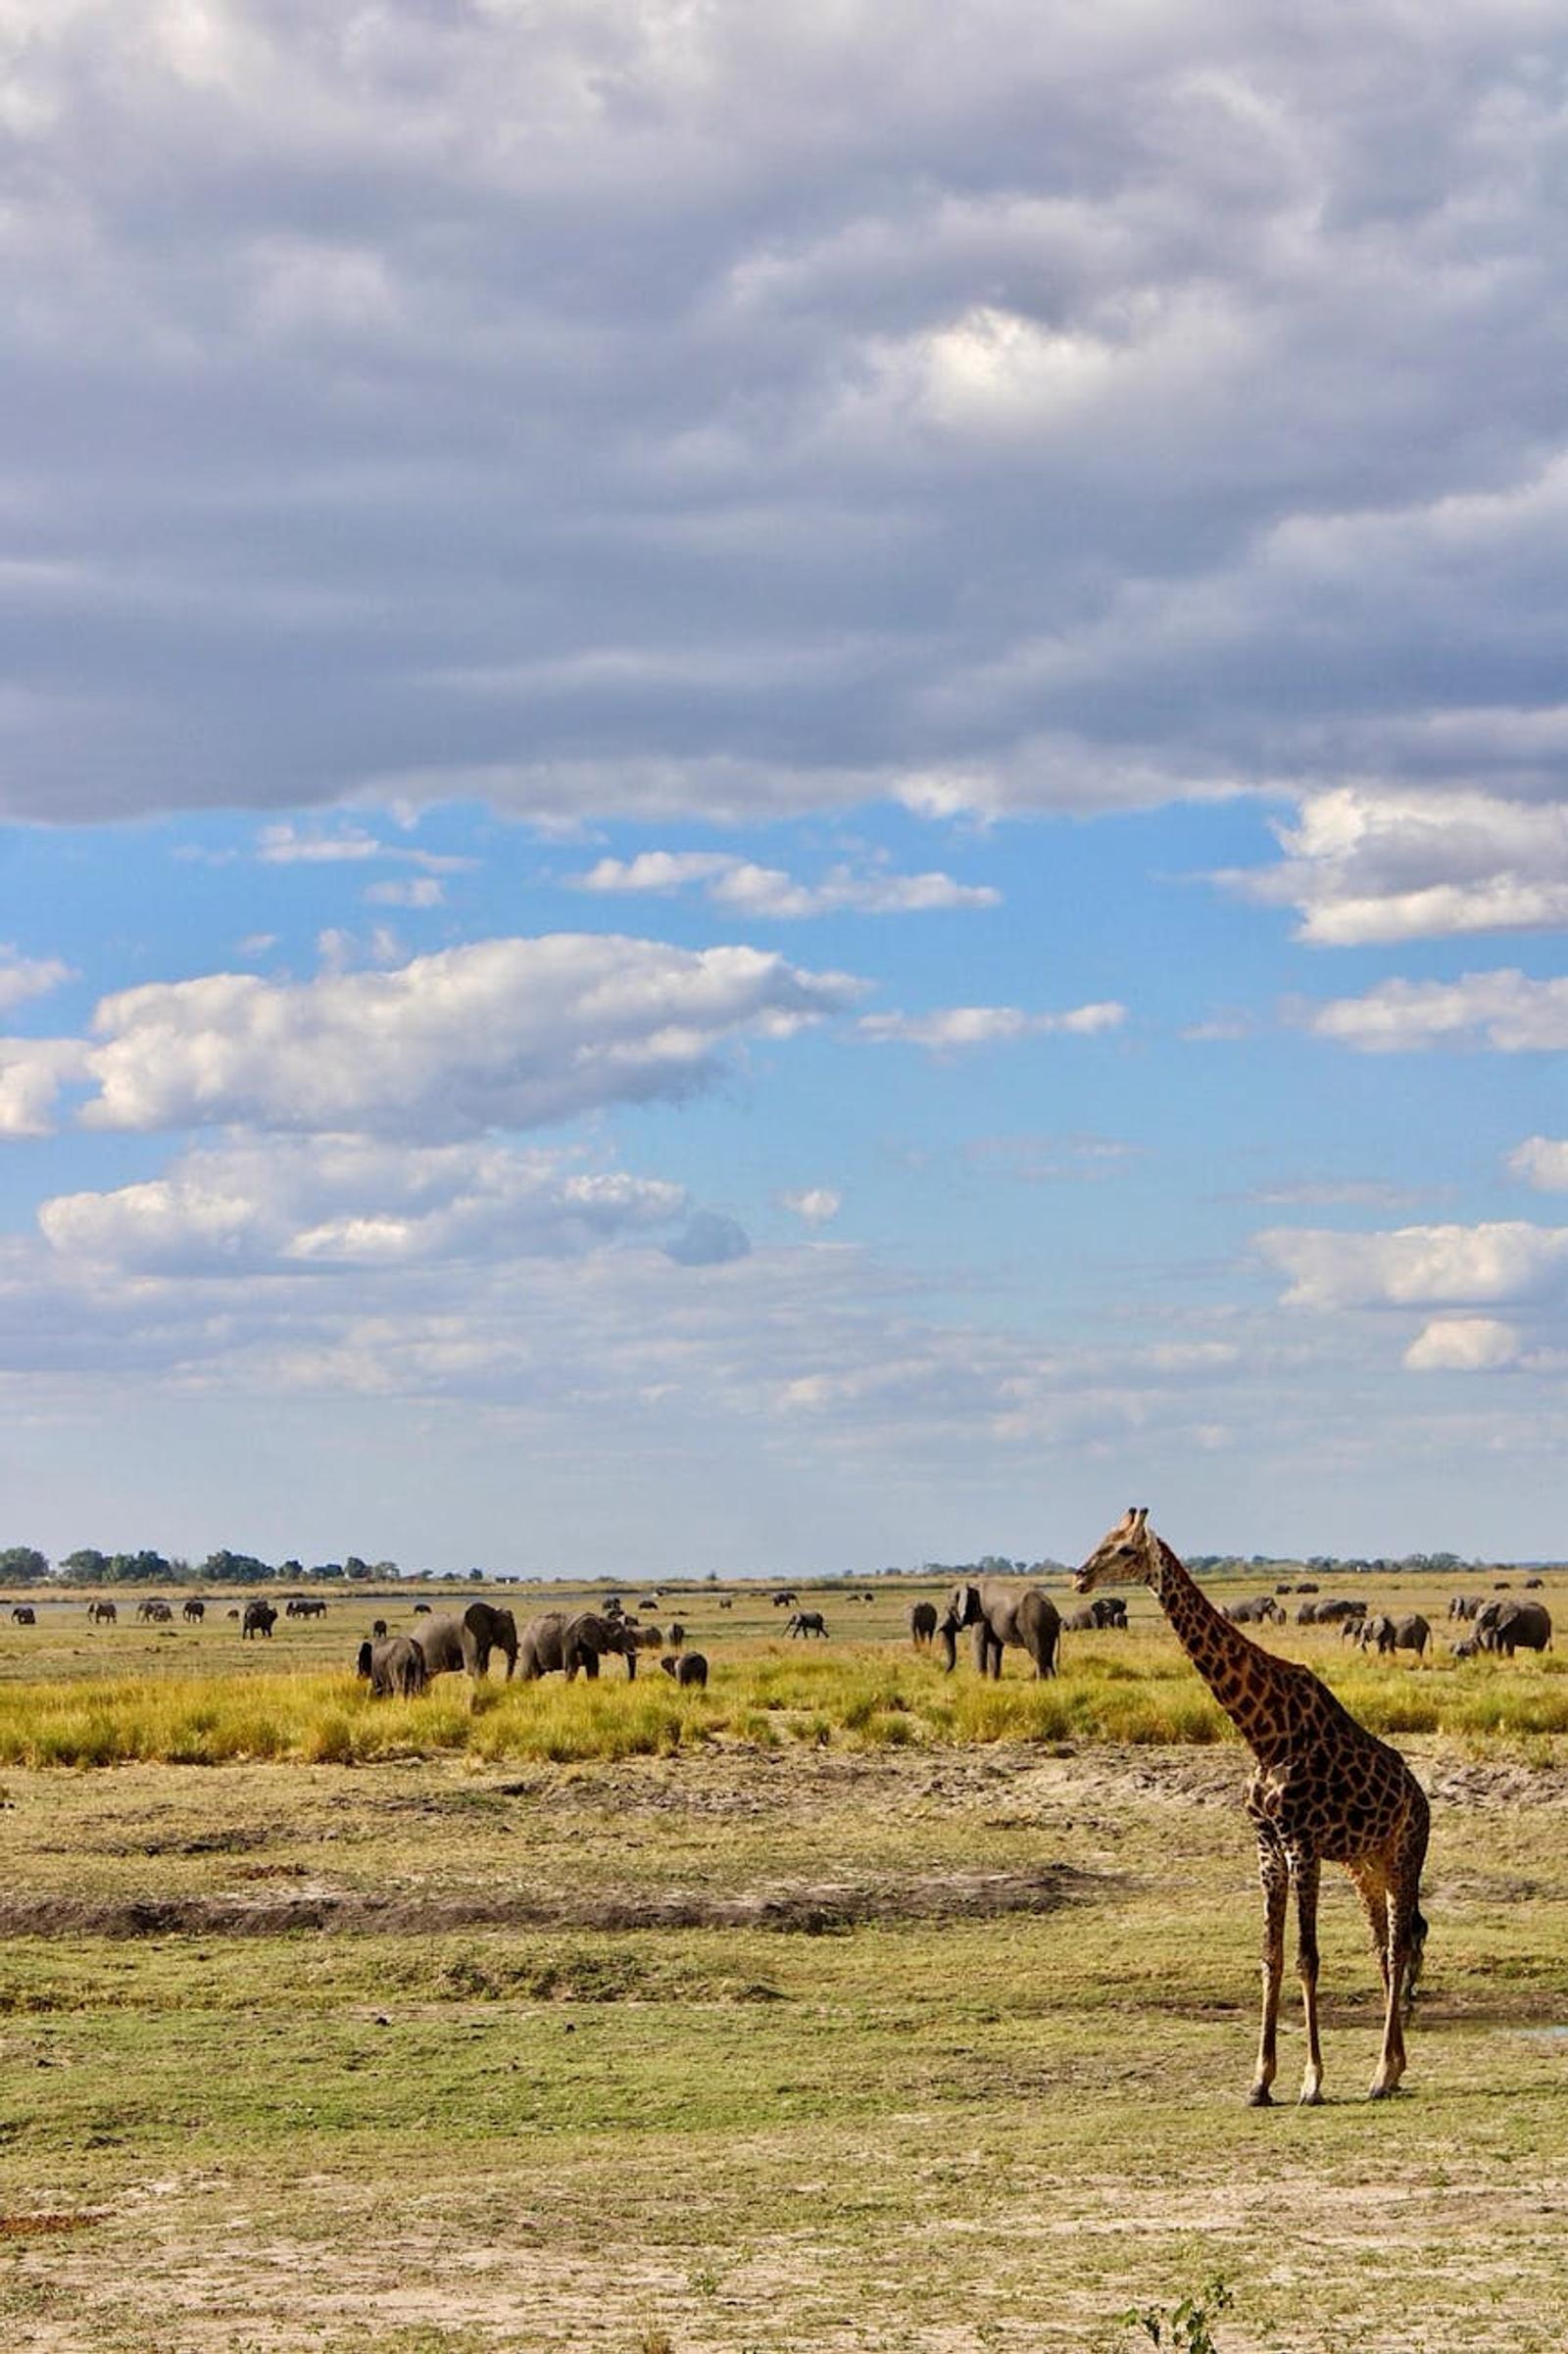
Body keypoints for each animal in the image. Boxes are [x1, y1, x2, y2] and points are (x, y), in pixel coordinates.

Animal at [1076, 1507, 1429, 2105]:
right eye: (1101, 1539)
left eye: (1123, 1550)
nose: (1079, 1576)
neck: (1264, 1733)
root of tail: (1421, 1797)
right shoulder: (1266, 1845)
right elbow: (1271, 1957)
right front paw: (1260, 2081)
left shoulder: (1301, 1843)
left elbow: (1308, 1958)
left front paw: (1311, 2081)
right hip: (1365, 1866)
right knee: (1383, 1949)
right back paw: (1395, 2069)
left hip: (1406, 1856)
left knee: (1401, 1946)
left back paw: (1382, 2073)